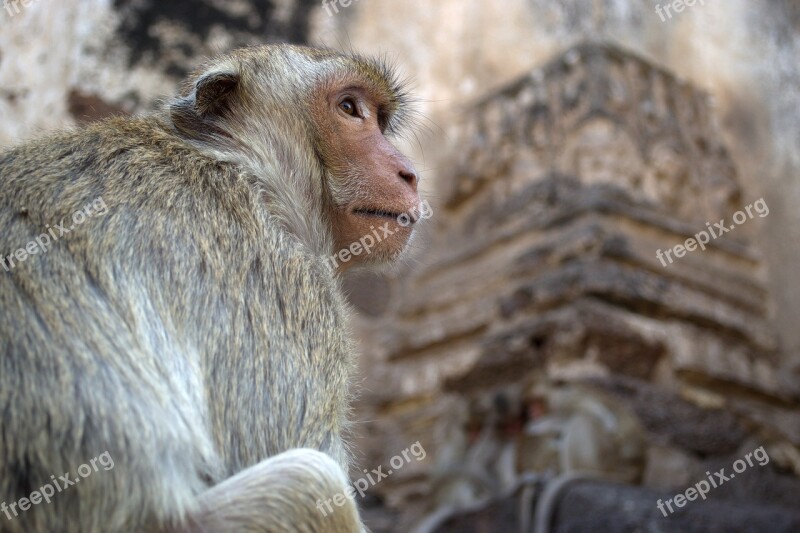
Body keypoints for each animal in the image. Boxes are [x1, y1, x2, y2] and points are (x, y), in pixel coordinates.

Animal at [0, 44, 422, 532]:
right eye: (350, 108)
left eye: (380, 118)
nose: (409, 173)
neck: (243, 167)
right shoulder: (281, 280)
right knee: (308, 484)